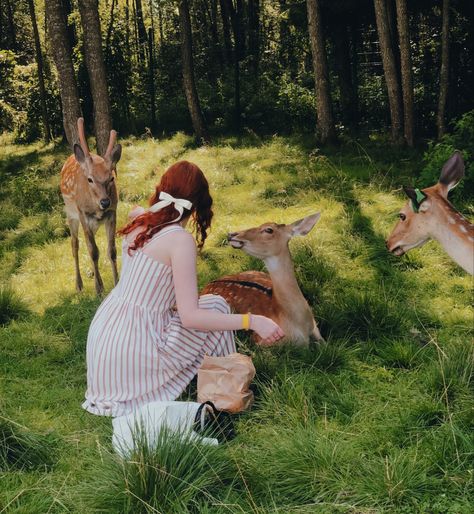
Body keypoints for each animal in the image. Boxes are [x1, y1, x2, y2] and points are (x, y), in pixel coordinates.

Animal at [60, 116, 122, 292]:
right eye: (90, 179)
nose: (105, 201)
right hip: (71, 214)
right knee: (75, 244)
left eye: (111, 178)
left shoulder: (112, 213)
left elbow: (111, 251)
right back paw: (79, 285)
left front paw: (116, 283)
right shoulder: (83, 214)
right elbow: (93, 252)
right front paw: (99, 289)